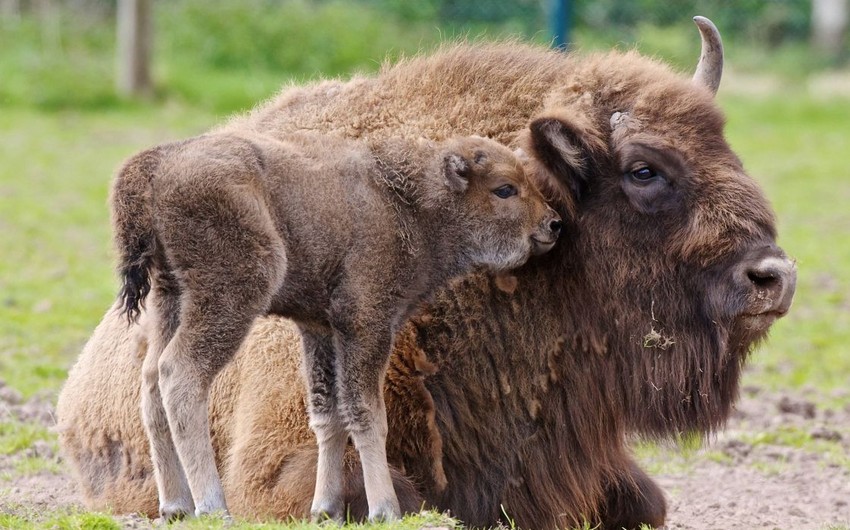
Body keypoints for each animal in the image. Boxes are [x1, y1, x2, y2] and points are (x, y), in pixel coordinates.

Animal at [111, 130, 564, 516]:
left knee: (150, 382)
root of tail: (158, 164)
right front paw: (385, 509)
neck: (409, 204)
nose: (554, 223)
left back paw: (175, 506)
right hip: (230, 297)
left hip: (170, 298)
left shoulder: (320, 330)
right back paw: (212, 506)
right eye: (505, 188)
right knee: (180, 375)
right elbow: (367, 414)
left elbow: (327, 415)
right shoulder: (367, 325)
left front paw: (325, 509)